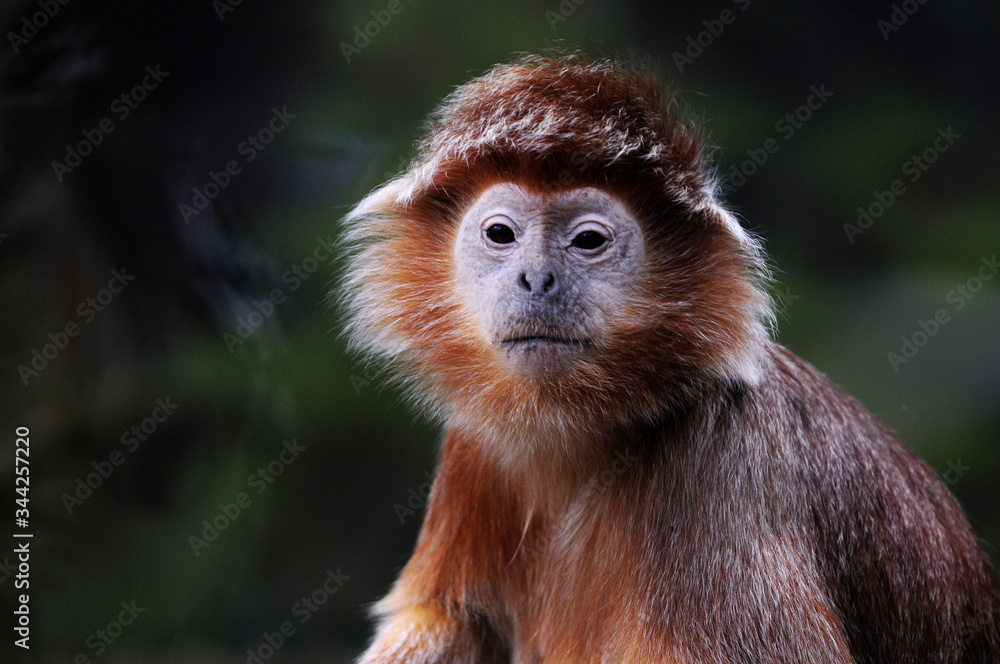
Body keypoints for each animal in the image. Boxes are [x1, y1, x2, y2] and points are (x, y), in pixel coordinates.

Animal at [342, 54, 1000, 663]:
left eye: (588, 241)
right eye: (501, 234)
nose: (537, 278)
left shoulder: (724, 465)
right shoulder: (474, 447)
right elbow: (453, 621)